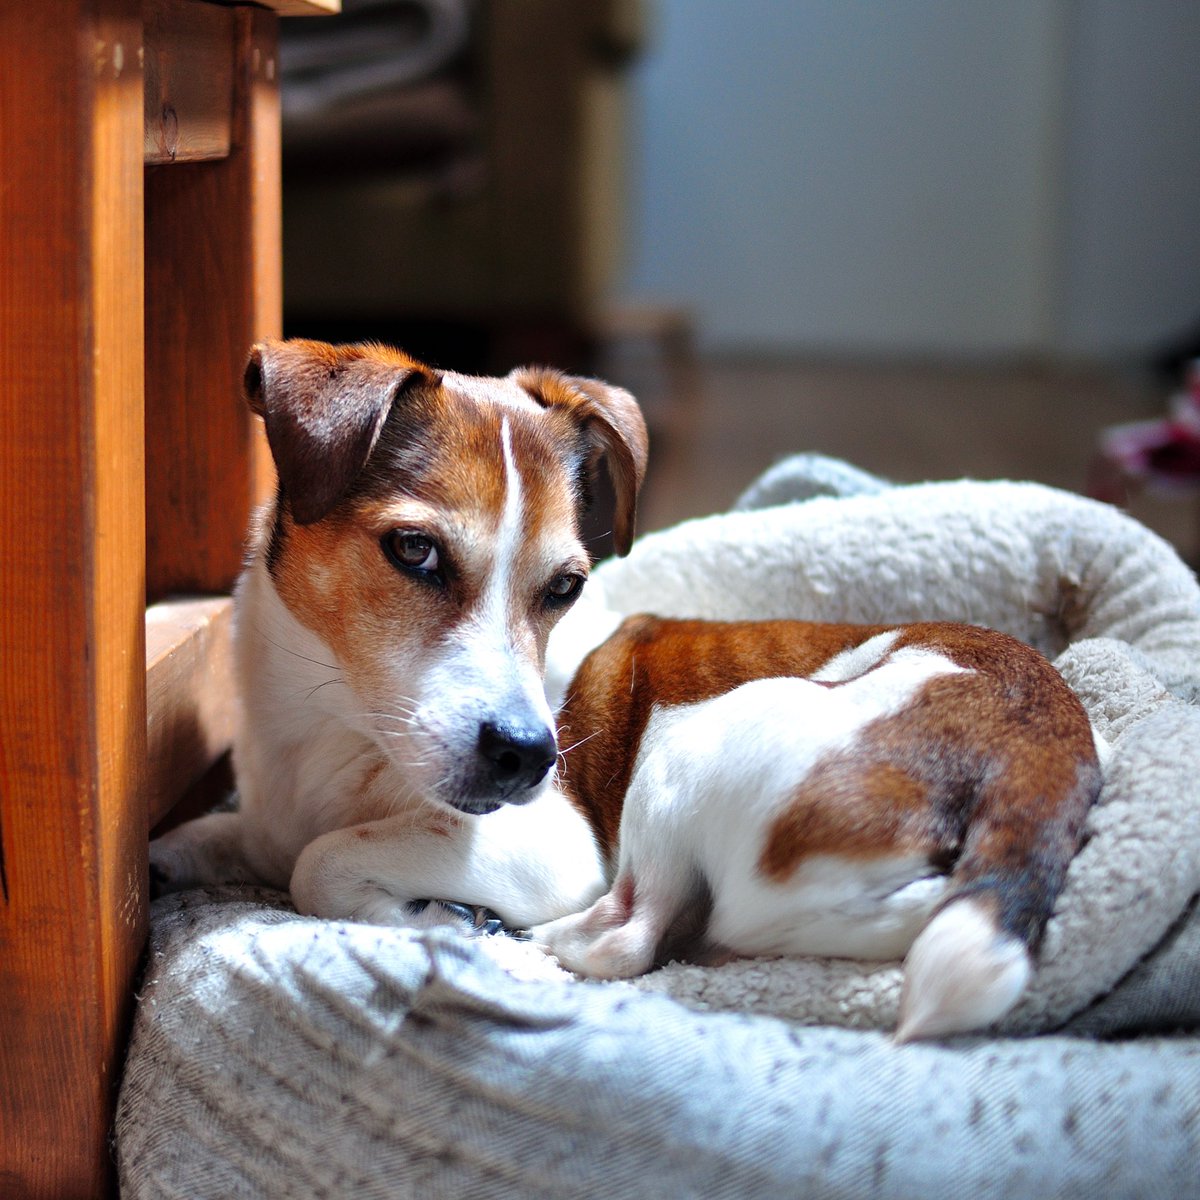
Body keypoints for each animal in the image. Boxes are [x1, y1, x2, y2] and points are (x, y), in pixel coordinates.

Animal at [152, 336, 1104, 1041]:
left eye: (565, 586)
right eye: (415, 551)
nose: (528, 756)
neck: (329, 723)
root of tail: (1046, 754)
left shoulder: (551, 846)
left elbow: (317, 864)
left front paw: (437, 922)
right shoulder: (265, 822)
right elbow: (205, 838)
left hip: (688, 746)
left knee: (634, 936)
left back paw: (526, 946)